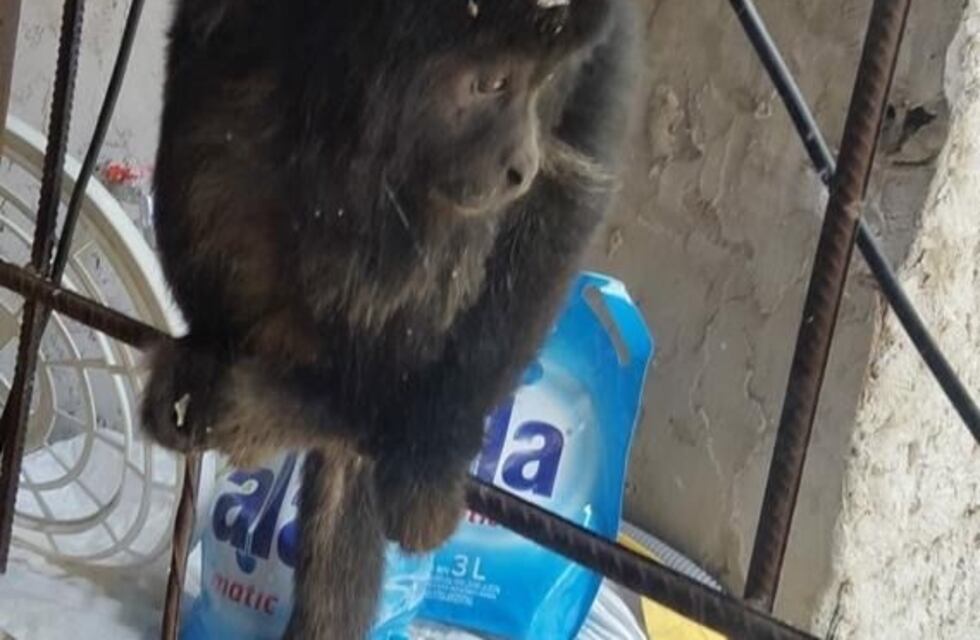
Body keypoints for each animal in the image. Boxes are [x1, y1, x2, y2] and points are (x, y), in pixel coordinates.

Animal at [141, 0, 642, 637]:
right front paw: (209, 341)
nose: (518, 166)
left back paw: (328, 404)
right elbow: (212, 92)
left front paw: (438, 442)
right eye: (490, 84)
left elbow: (574, 174)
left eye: (543, 82)